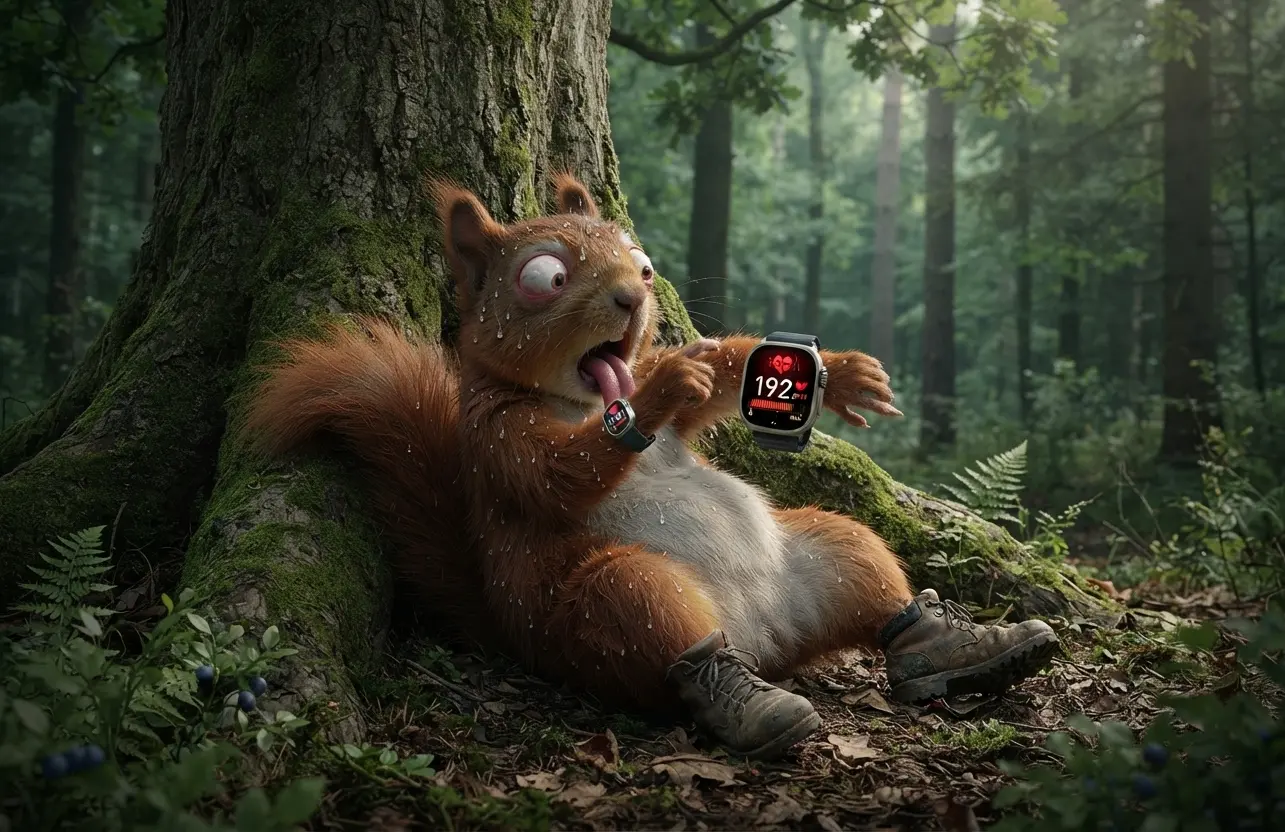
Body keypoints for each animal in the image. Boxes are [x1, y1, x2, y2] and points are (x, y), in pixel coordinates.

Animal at [244, 174, 1061, 760]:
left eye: (642, 263)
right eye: (543, 279)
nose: (634, 297)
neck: (575, 396)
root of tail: (764, 639)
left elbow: (719, 376)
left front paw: (839, 375)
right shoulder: (497, 435)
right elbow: (553, 473)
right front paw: (661, 389)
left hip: (824, 554)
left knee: (864, 568)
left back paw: (964, 647)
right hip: (606, 603)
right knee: (669, 635)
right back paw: (754, 705)